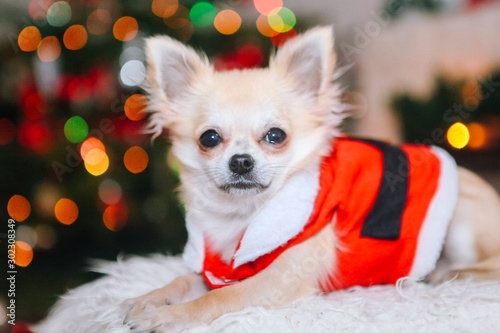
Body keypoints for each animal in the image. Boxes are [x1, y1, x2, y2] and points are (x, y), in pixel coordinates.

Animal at [123, 27, 500, 330]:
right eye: (210, 138)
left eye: (275, 136)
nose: (241, 162)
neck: (246, 214)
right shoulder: (221, 271)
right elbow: (182, 281)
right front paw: (148, 298)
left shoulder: (276, 278)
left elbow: (218, 299)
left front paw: (169, 316)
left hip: (460, 219)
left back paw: (449, 273)